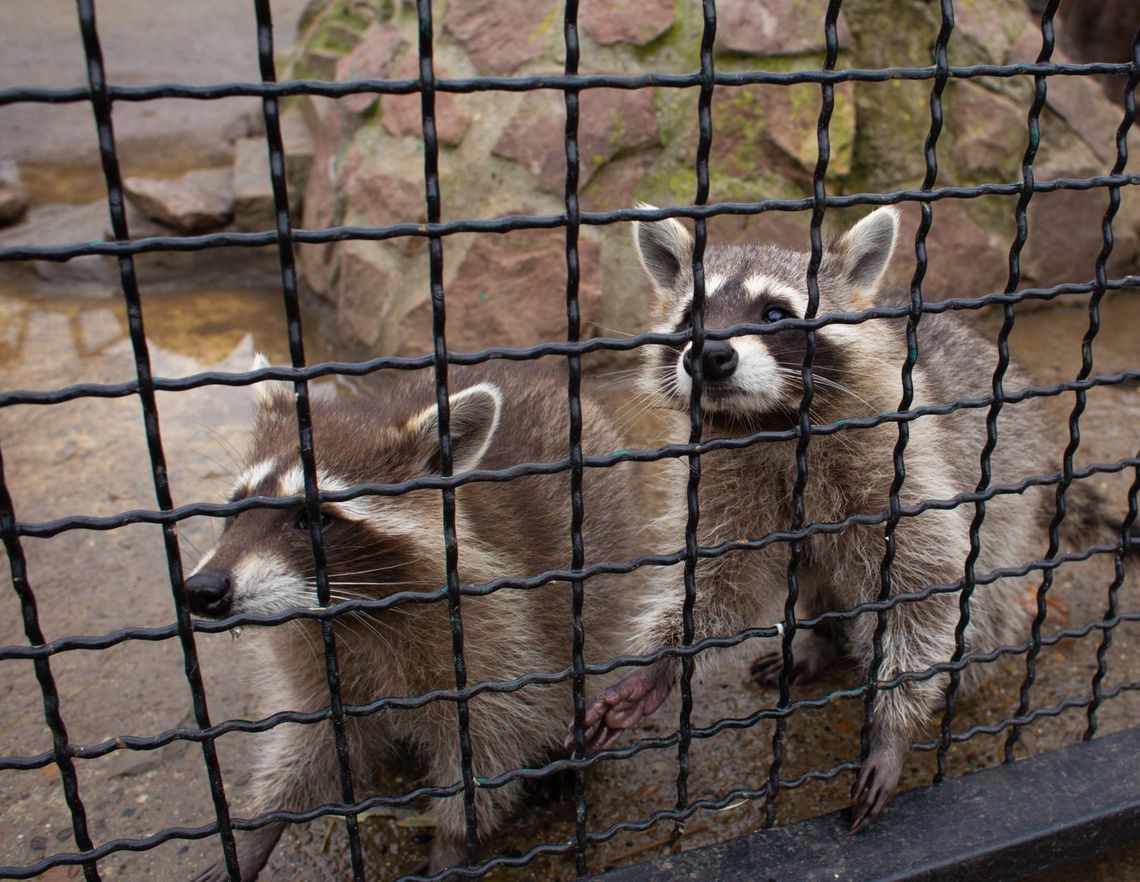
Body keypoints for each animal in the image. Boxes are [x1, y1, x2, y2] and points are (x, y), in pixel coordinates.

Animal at [188, 360, 652, 882]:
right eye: (237, 508)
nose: (202, 590)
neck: (353, 614)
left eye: (313, 520)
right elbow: (310, 740)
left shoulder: (495, 634)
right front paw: (261, 824)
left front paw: (453, 840)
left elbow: (489, 746)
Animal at [574, 208, 1117, 834]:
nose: (707, 355)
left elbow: (926, 580)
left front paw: (895, 723)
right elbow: (722, 583)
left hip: (1007, 484)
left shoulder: (898, 458)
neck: (771, 422)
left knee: (981, 597)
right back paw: (824, 635)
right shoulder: (723, 478)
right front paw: (658, 669)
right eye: (692, 317)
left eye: (775, 314)